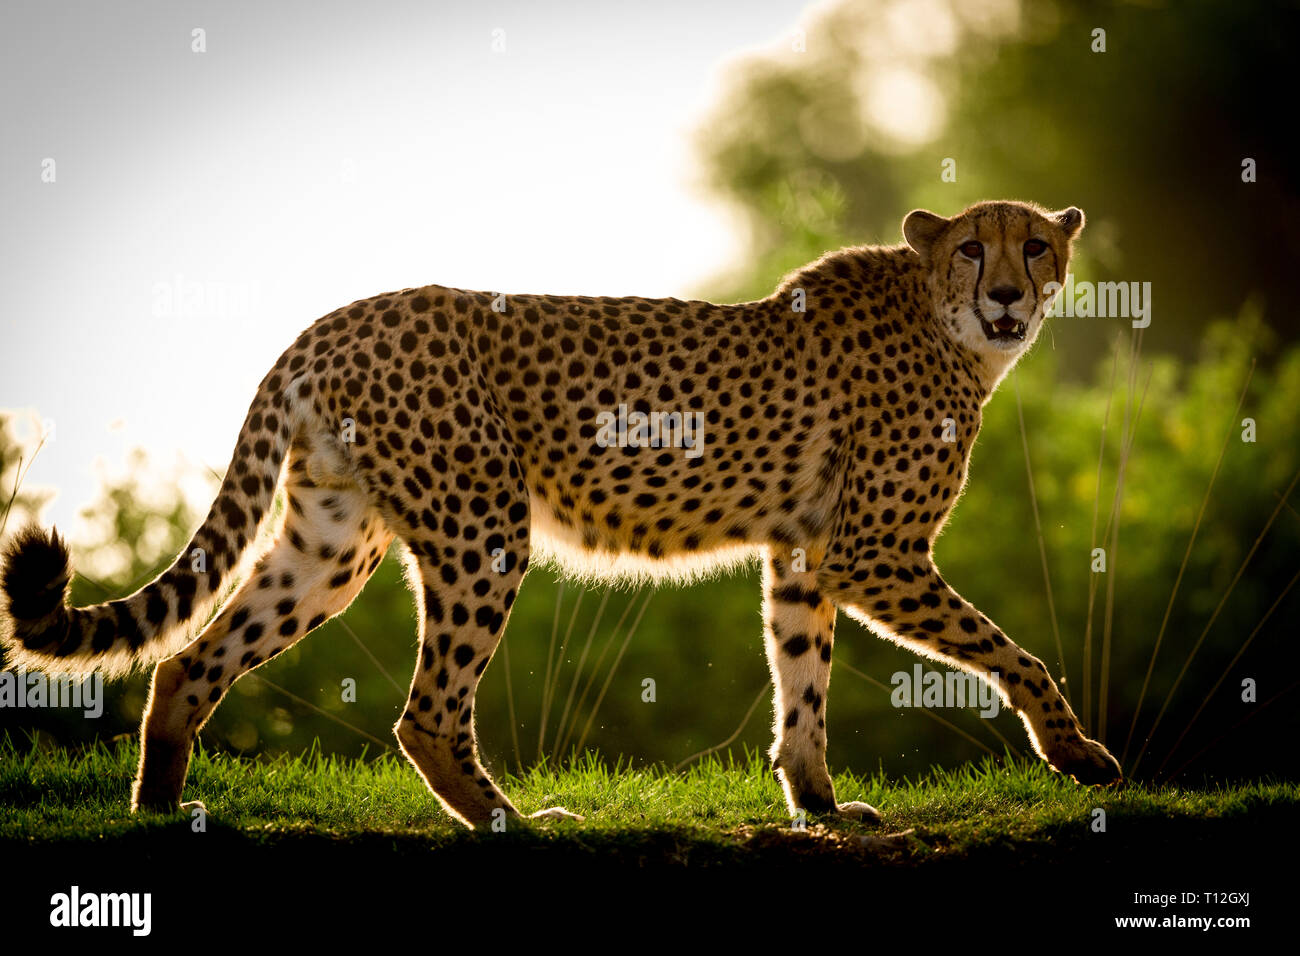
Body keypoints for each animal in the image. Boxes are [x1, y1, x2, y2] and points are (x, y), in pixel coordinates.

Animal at [0, 197, 1118, 827]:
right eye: (972, 248)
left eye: (1034, 247)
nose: (1008, 294)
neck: (947, 325)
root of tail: (335, 318)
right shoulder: (873, 553)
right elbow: (1015, 652)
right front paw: (1076, 754)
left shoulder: (804, 557)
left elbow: (801, 683)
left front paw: (821, 804)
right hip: (482, 528)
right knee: (425, 712)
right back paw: (512, 818)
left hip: (329, 545)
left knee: (191, 659)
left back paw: (159, 806)